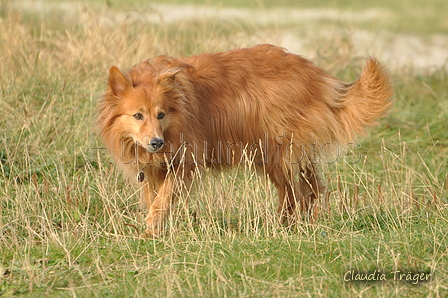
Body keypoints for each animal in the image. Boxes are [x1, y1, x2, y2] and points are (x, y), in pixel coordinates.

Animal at [98, 44, 392, 236]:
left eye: (161, 114)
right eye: (137, 115)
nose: (156, 143)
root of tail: (316, 75)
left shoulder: (185, 162)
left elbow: (163, 198)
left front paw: (152, 226)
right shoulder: (152, 169)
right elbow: (153, 197)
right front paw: (154, 227)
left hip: (276, 152)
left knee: (294, 192)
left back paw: (283, 225)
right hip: (281, 155)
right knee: (310, 188)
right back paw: (300, 222)